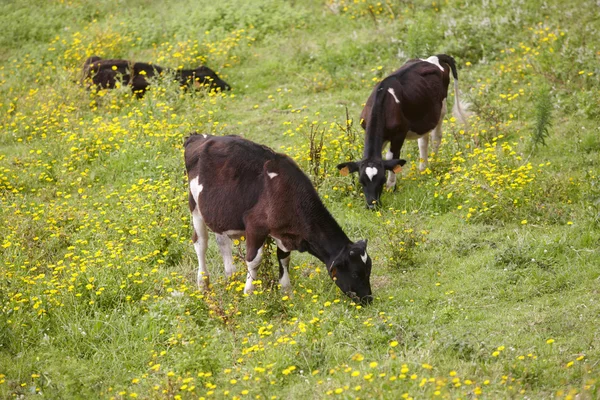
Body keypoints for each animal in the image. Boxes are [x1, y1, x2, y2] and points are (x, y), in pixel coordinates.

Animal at [183, 133, 372, 304]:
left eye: (369, 269)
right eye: (355, 273)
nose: (368, 299)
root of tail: (199, 137)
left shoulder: (285, 232)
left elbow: (284, 258)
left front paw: (287, 291)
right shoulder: (255, 227)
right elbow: (254, 261)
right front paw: (249, 293)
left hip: (218, 215)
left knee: (222, 243)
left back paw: (231, 277)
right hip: (195, 207)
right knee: (201, 244)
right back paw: (203, 284)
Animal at [338, 54, 468, 209]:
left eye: (381, 180)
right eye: (361, 181)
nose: (372, 205)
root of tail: (434, 57)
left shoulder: (398, 134)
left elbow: (391, 158)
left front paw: (391, 186)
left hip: (441, 109)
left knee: (436, 137)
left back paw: (433, 163)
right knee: (423, 141)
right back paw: (423, 168)